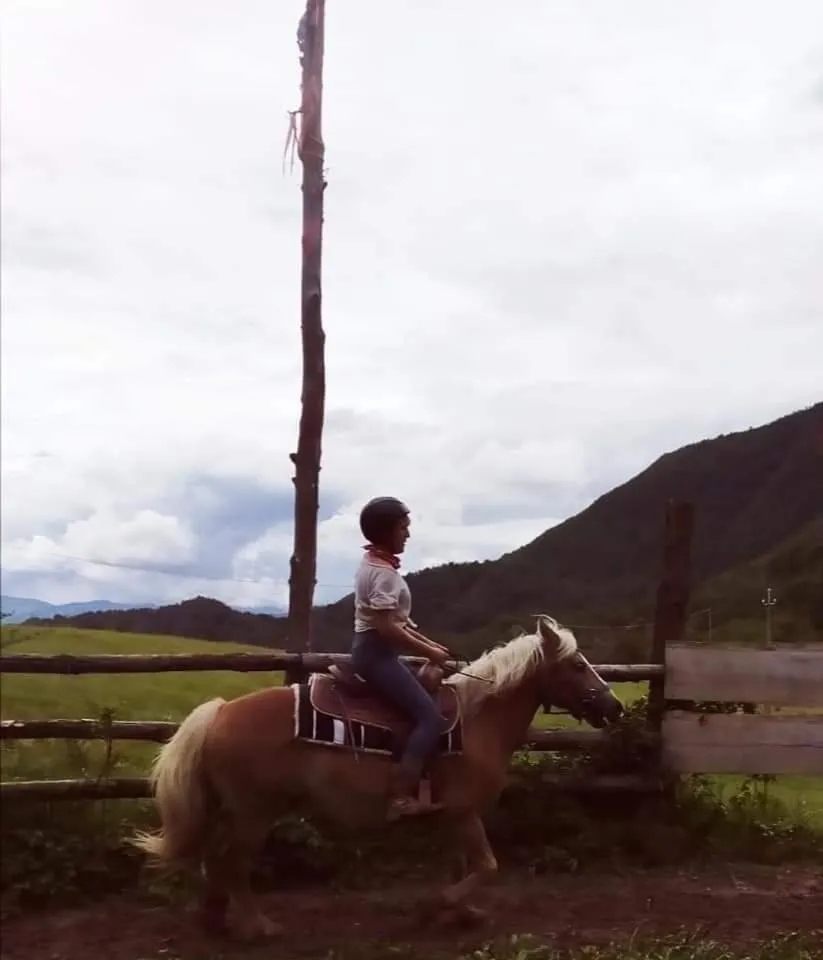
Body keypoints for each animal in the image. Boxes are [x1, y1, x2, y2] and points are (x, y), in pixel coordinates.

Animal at [133, 614, 624, 940]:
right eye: (577, 665)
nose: (614, 707)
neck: (476, 718)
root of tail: (220, 712)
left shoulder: (450, 815)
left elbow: (464, 865)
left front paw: (461, 914)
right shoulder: (464, 812)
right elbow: (487, 865)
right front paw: (437, 907)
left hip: (233, 810)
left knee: (213, 858)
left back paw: (214, 919)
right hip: (254, 812)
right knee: (233, 863)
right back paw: (259, 926)